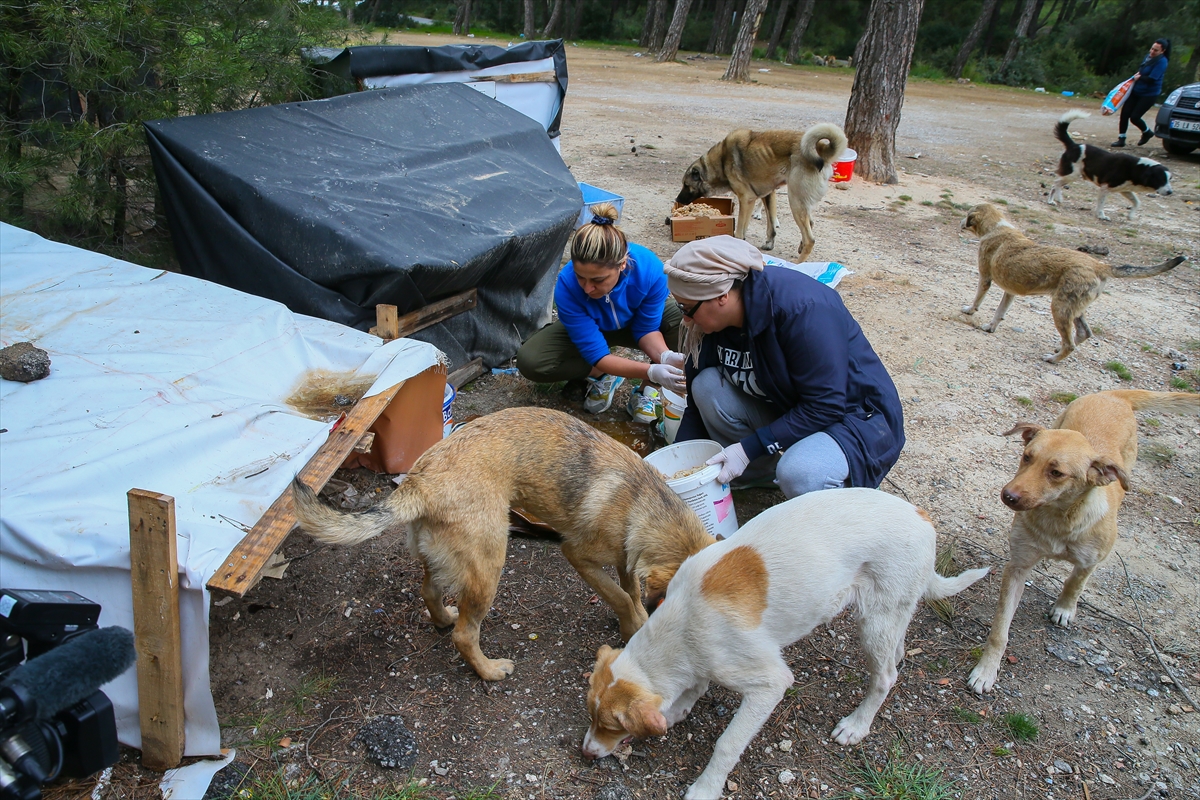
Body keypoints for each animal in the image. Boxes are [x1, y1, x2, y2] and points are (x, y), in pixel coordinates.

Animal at [291, 407, 710, 681]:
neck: (643, 501)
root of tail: (420, 482)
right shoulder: (577, 555)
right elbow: (622, 596)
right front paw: (635, 622)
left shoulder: (626, 558)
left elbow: (629, 590)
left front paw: (634, 620)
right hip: (489, 567)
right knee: (465, 634)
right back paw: (490, 671)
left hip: (446, 559)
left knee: (429, 592)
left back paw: (442, 618)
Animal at [578, 489, 984, 800]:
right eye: (590, 715)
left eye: (612, 726)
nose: (586, 753)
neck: (681, 625)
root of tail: (923, 516)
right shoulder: (702, 661)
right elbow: (696, 684)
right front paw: (680, 706)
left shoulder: (769, 685)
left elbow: (727, 744)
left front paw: (706, 788)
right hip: (887, 620)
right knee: (896, 654)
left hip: (875, 623)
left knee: (885, 677)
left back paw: (857, 724)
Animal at [676, 125, 844, 261]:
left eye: (686, 185)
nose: (678, 199)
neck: (722, 161)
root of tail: (821, 149)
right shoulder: (766, 195)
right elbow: (770, 225)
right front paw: (768, 243)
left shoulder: (746, 200)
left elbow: (740, 230)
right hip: (801, 202)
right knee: (811, 223)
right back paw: (800, 247)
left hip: (795, 201)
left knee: (810, 239)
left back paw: (797, 265)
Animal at [960, 201, 1185, 362]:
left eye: (967, 214)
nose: (961, 223)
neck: (997, 227)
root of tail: (1099, 265)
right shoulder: (1011, 292)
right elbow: (1000, 312)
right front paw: (990, 327)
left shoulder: (985, 278)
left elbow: (978, 298)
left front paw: (970, 310)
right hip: (1074, 308)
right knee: (1084, 333)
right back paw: (1058, 349)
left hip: (1060, 307)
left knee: (1071, 343)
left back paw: (1053, 359)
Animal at [964, 393, 1200, 695]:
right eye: (1027, 457)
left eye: (1056, 473)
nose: (1008, 496)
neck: (1058, 520)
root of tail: (1113, 394)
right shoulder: (1018, 567)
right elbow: (999, 631)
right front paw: (986, 670)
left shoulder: (1091, 560)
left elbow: (1075, 583)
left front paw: (1065, 607)